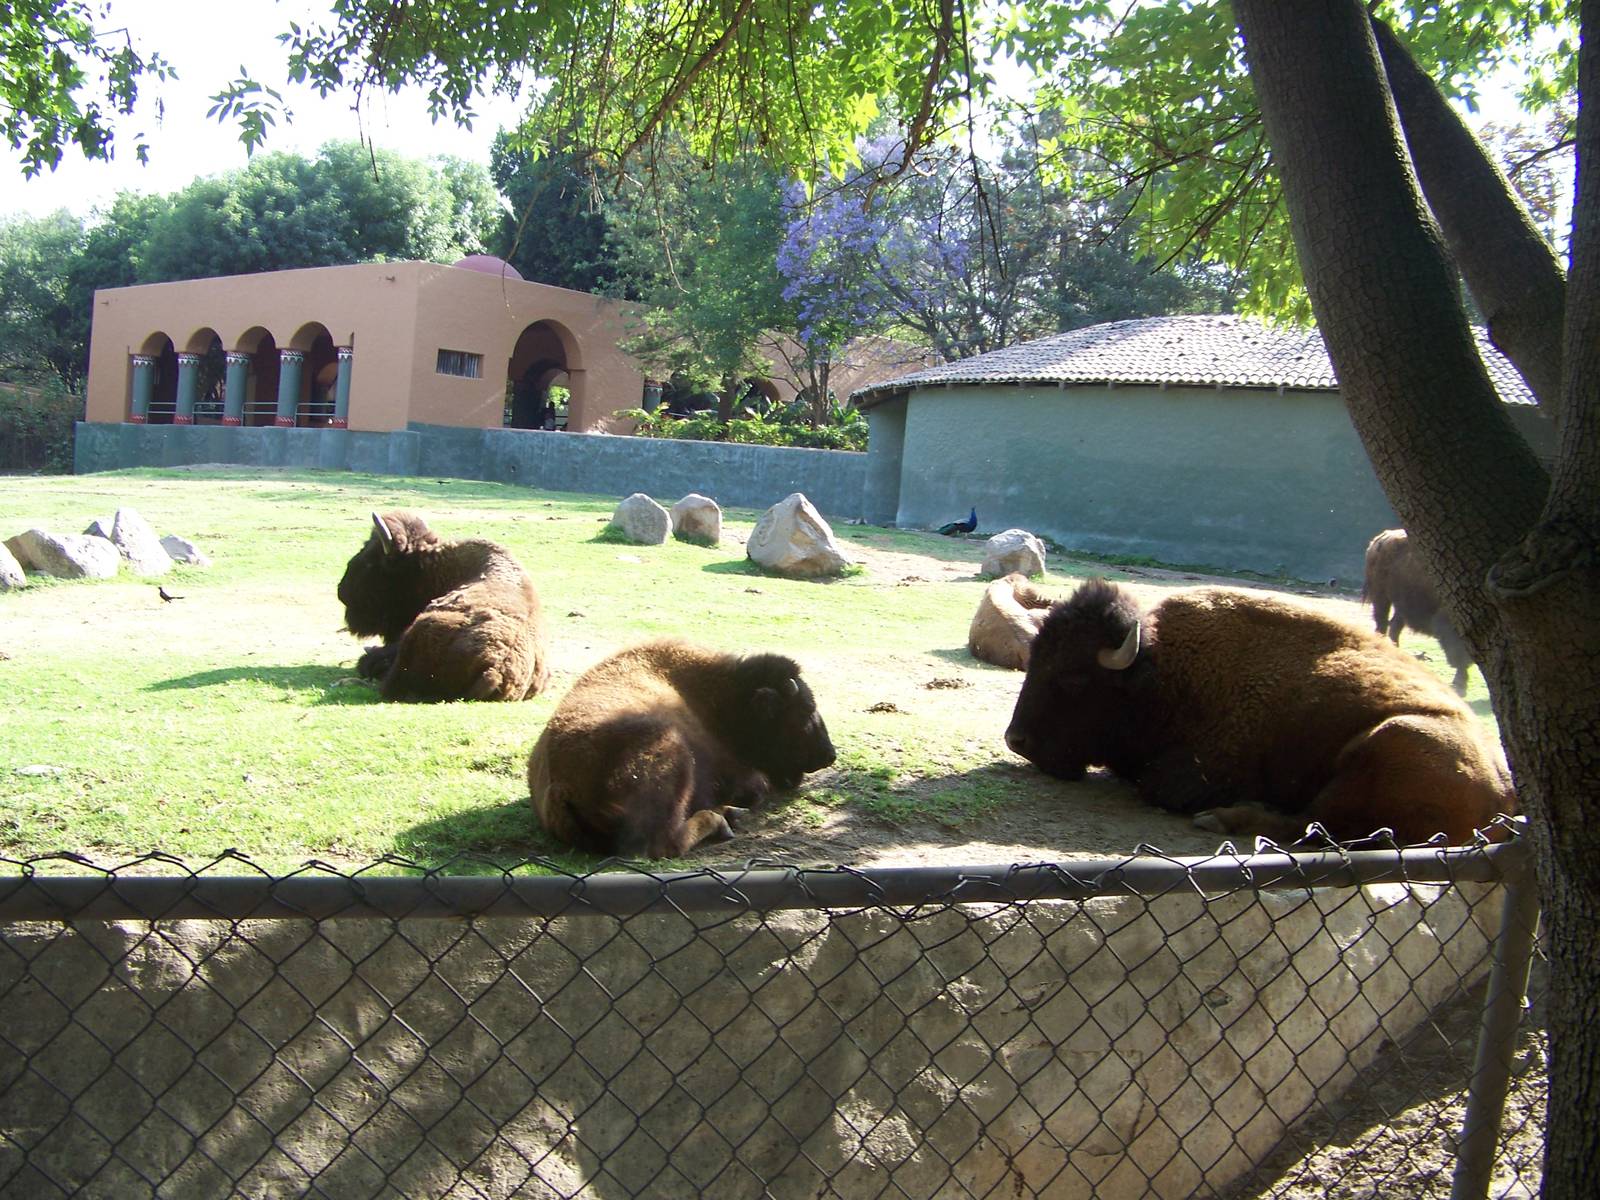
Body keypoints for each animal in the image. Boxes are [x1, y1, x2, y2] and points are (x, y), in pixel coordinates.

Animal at [528, 639, 836, 857]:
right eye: (806, 711)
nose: (829, 756)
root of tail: (561, 787)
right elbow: (757, 786)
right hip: (674, 756)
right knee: (665, 844)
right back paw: (722, 819)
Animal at [1004, 579, 1514, 845]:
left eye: (1073, 676)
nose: (1017, 741)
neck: (1160, 671)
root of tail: (1505, 794)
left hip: (1391, 741)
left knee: (1317, 824)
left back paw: (1224, 819)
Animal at [1363, 528, 1475, 694]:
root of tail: (1383, 538)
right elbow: (1460, 655)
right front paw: (1460, 685)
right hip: (1381, 596)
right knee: (1382, 624)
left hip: (1400, 603)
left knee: (1394, 626)